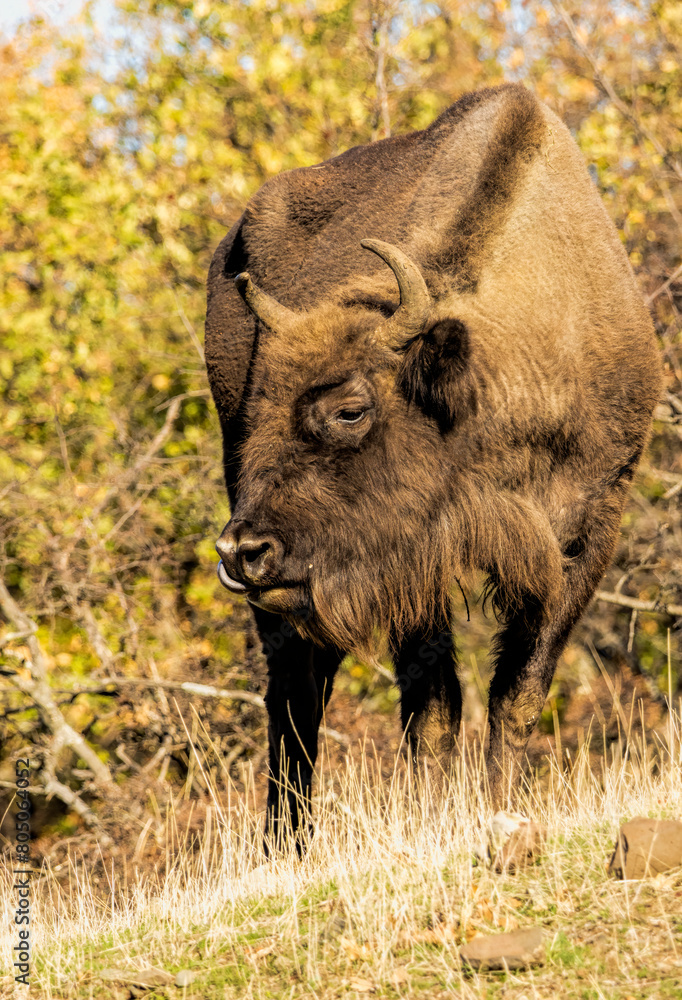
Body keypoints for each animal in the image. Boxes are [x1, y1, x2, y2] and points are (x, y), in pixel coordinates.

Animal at [205, 84, 661, 848]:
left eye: (350, 409)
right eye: (258, 406)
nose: (243, 550)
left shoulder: (589, 530)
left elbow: (516, 693)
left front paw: (501, 807)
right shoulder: (413, 561)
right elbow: (436, 703)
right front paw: (433, 818)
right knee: (295, 690)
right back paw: (287, 842)